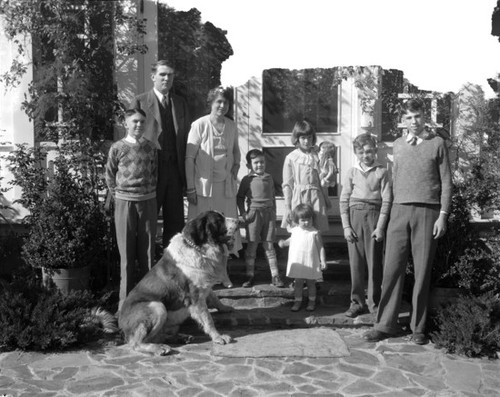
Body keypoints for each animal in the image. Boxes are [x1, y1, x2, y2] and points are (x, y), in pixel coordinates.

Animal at [120, 212, 238, 354]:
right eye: (218, 220)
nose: (238, 220)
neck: (198, 248)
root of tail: (120, 320)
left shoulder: (204, 285)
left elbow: (214, 297)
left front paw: (224, 308)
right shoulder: (196, 298)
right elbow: (208, 319)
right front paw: (218, 337)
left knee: (157, 336)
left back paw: (180, 338)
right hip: (157, 307)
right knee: (137, 343)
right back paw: (159, 348)